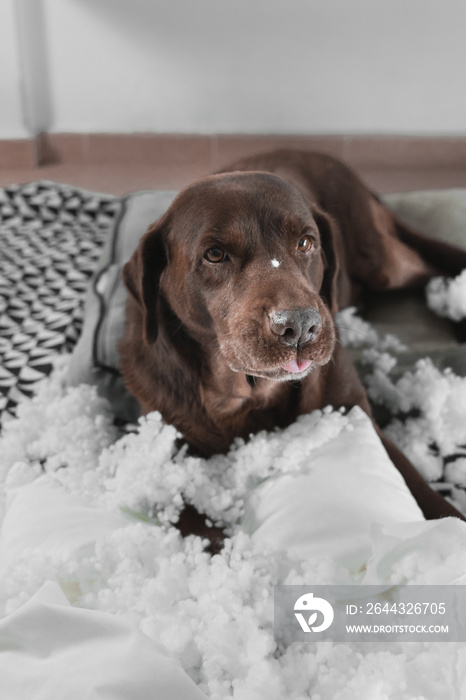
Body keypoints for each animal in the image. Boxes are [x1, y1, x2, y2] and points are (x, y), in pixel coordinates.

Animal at [120, 153, 466, 524]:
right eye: (214, 254)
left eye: (305, 242)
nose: (300, 325)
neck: (250, 396)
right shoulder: (170, 460)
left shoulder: (356, 413)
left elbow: (432, 500)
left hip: (381, 263)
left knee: (431, 271)